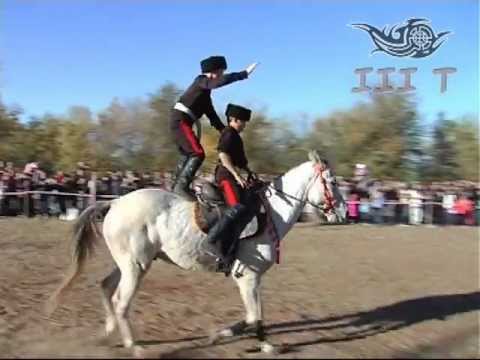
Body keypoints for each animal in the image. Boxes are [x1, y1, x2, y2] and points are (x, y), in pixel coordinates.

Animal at [47, 149, 344, 354]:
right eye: (331, 181)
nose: (340, 213)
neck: (270, 214)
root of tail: (116, 203)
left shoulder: (253, 279)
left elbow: (255, 315)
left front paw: (252, 341)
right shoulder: (248, 277)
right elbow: (252, 315)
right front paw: (227, 337)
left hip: (129, 264)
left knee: (106, 287)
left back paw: (108, 332)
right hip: (135, 267)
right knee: (121, 301)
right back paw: (134, 346)